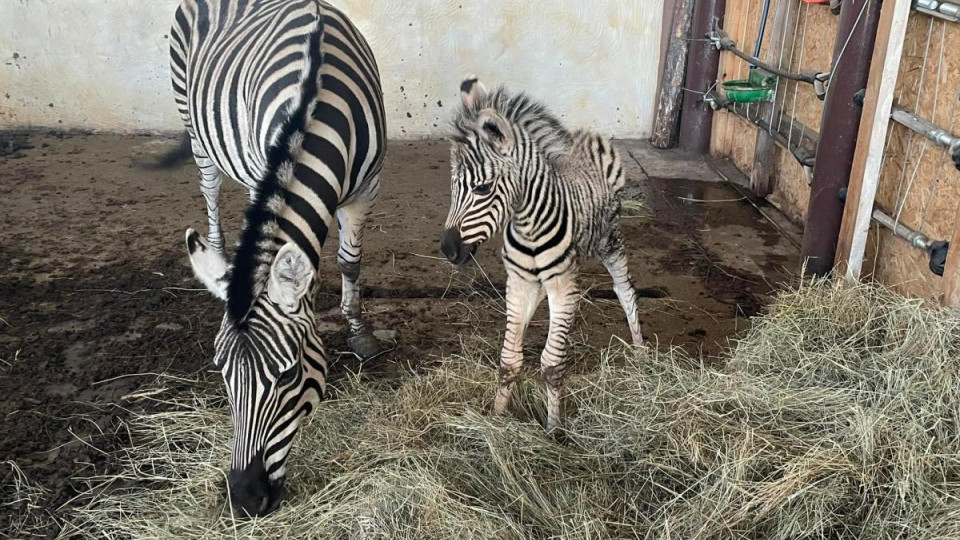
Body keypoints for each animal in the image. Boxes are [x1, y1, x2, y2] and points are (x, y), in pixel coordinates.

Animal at [169, 0, 386, 516]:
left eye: (288, 375)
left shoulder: (366, 190)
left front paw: (359, 331)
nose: (244, 499)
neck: (315, 104)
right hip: (196, 127)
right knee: (210, 188)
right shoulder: (260, 171)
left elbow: (349, 260)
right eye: (220, 373)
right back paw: (218, 253)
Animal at [442, 77, 644, 430]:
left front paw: (554, 429)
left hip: (610, 240)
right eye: (453, 187)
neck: (528, 223)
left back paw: (641, 354)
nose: (447, 249)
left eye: (482, 189)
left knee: (625, 290)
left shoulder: (563, 283)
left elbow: (552, 363)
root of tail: (586, 138)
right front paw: (497, 417)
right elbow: (509, 358)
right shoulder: (519, 281)